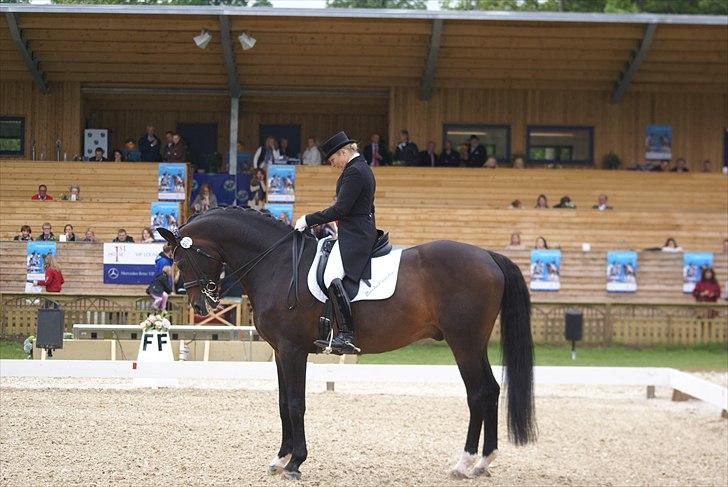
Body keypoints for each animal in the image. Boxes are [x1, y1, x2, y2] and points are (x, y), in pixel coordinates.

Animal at [159, 206, 536, 480]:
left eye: (182, 259)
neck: (276, 263)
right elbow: (282, 403)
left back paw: (465, 463)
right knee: (491, 390)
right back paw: (483, 463)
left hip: (464, 342)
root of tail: (488, 255)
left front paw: (295, 463)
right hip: (473, 343)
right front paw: (280, 458)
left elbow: (296, 403)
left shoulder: (293, 349)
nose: (200, 305)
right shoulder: (280, 351)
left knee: (479, 393)